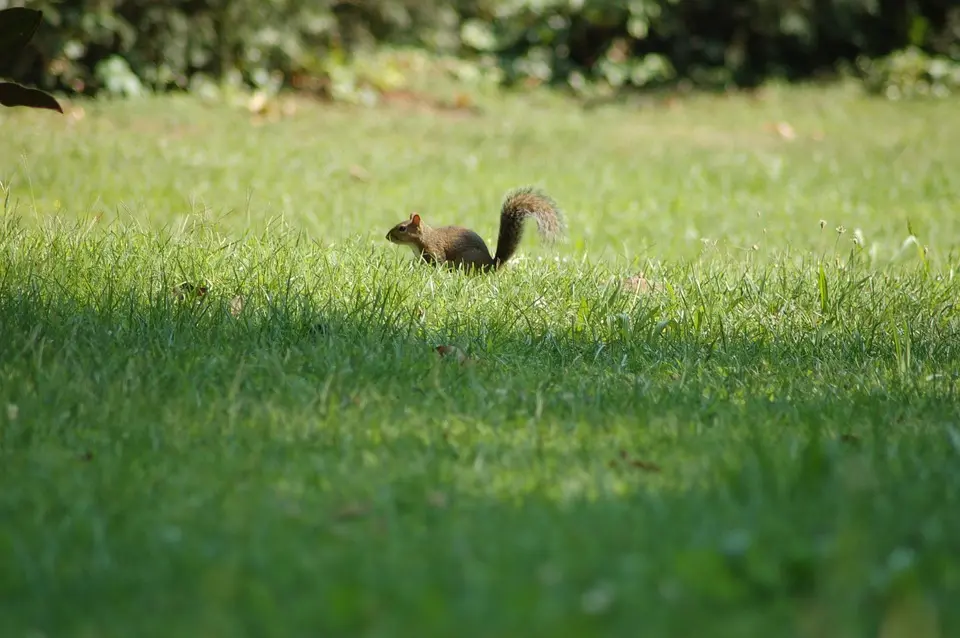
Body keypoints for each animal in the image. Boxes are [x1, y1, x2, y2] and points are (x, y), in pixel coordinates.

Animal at [384, 186, 564, 274]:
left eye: (402, 228)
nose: (387, 237)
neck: (423, 238)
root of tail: (491, 265)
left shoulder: (435, 251)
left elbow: (439, 263)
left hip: (467, 259)